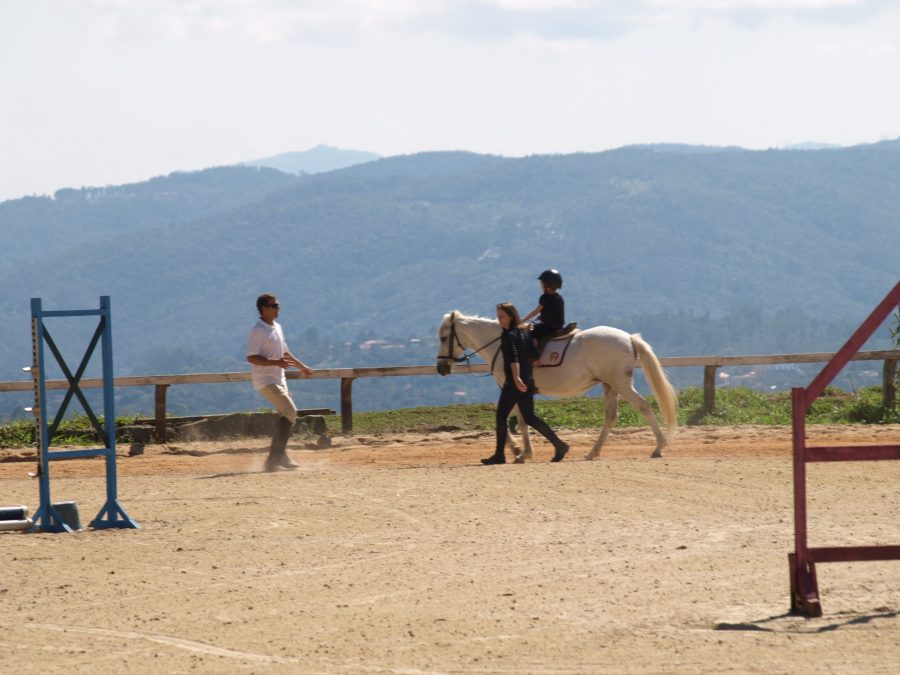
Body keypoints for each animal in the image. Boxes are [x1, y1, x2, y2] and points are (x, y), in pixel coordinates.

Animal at [436, 312, 676, 462]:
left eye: (444, 337)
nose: (441, 368)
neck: (503, 345)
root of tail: (628, 337)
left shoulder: (511, 388)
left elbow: (514, 418)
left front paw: (519, 451)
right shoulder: (520, 391)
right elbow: (519, 419)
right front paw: (521, 451)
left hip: (620, 383)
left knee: (643, 407)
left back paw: (659, 447)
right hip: (609, 385)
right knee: (611, 417)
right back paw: (592, 452)